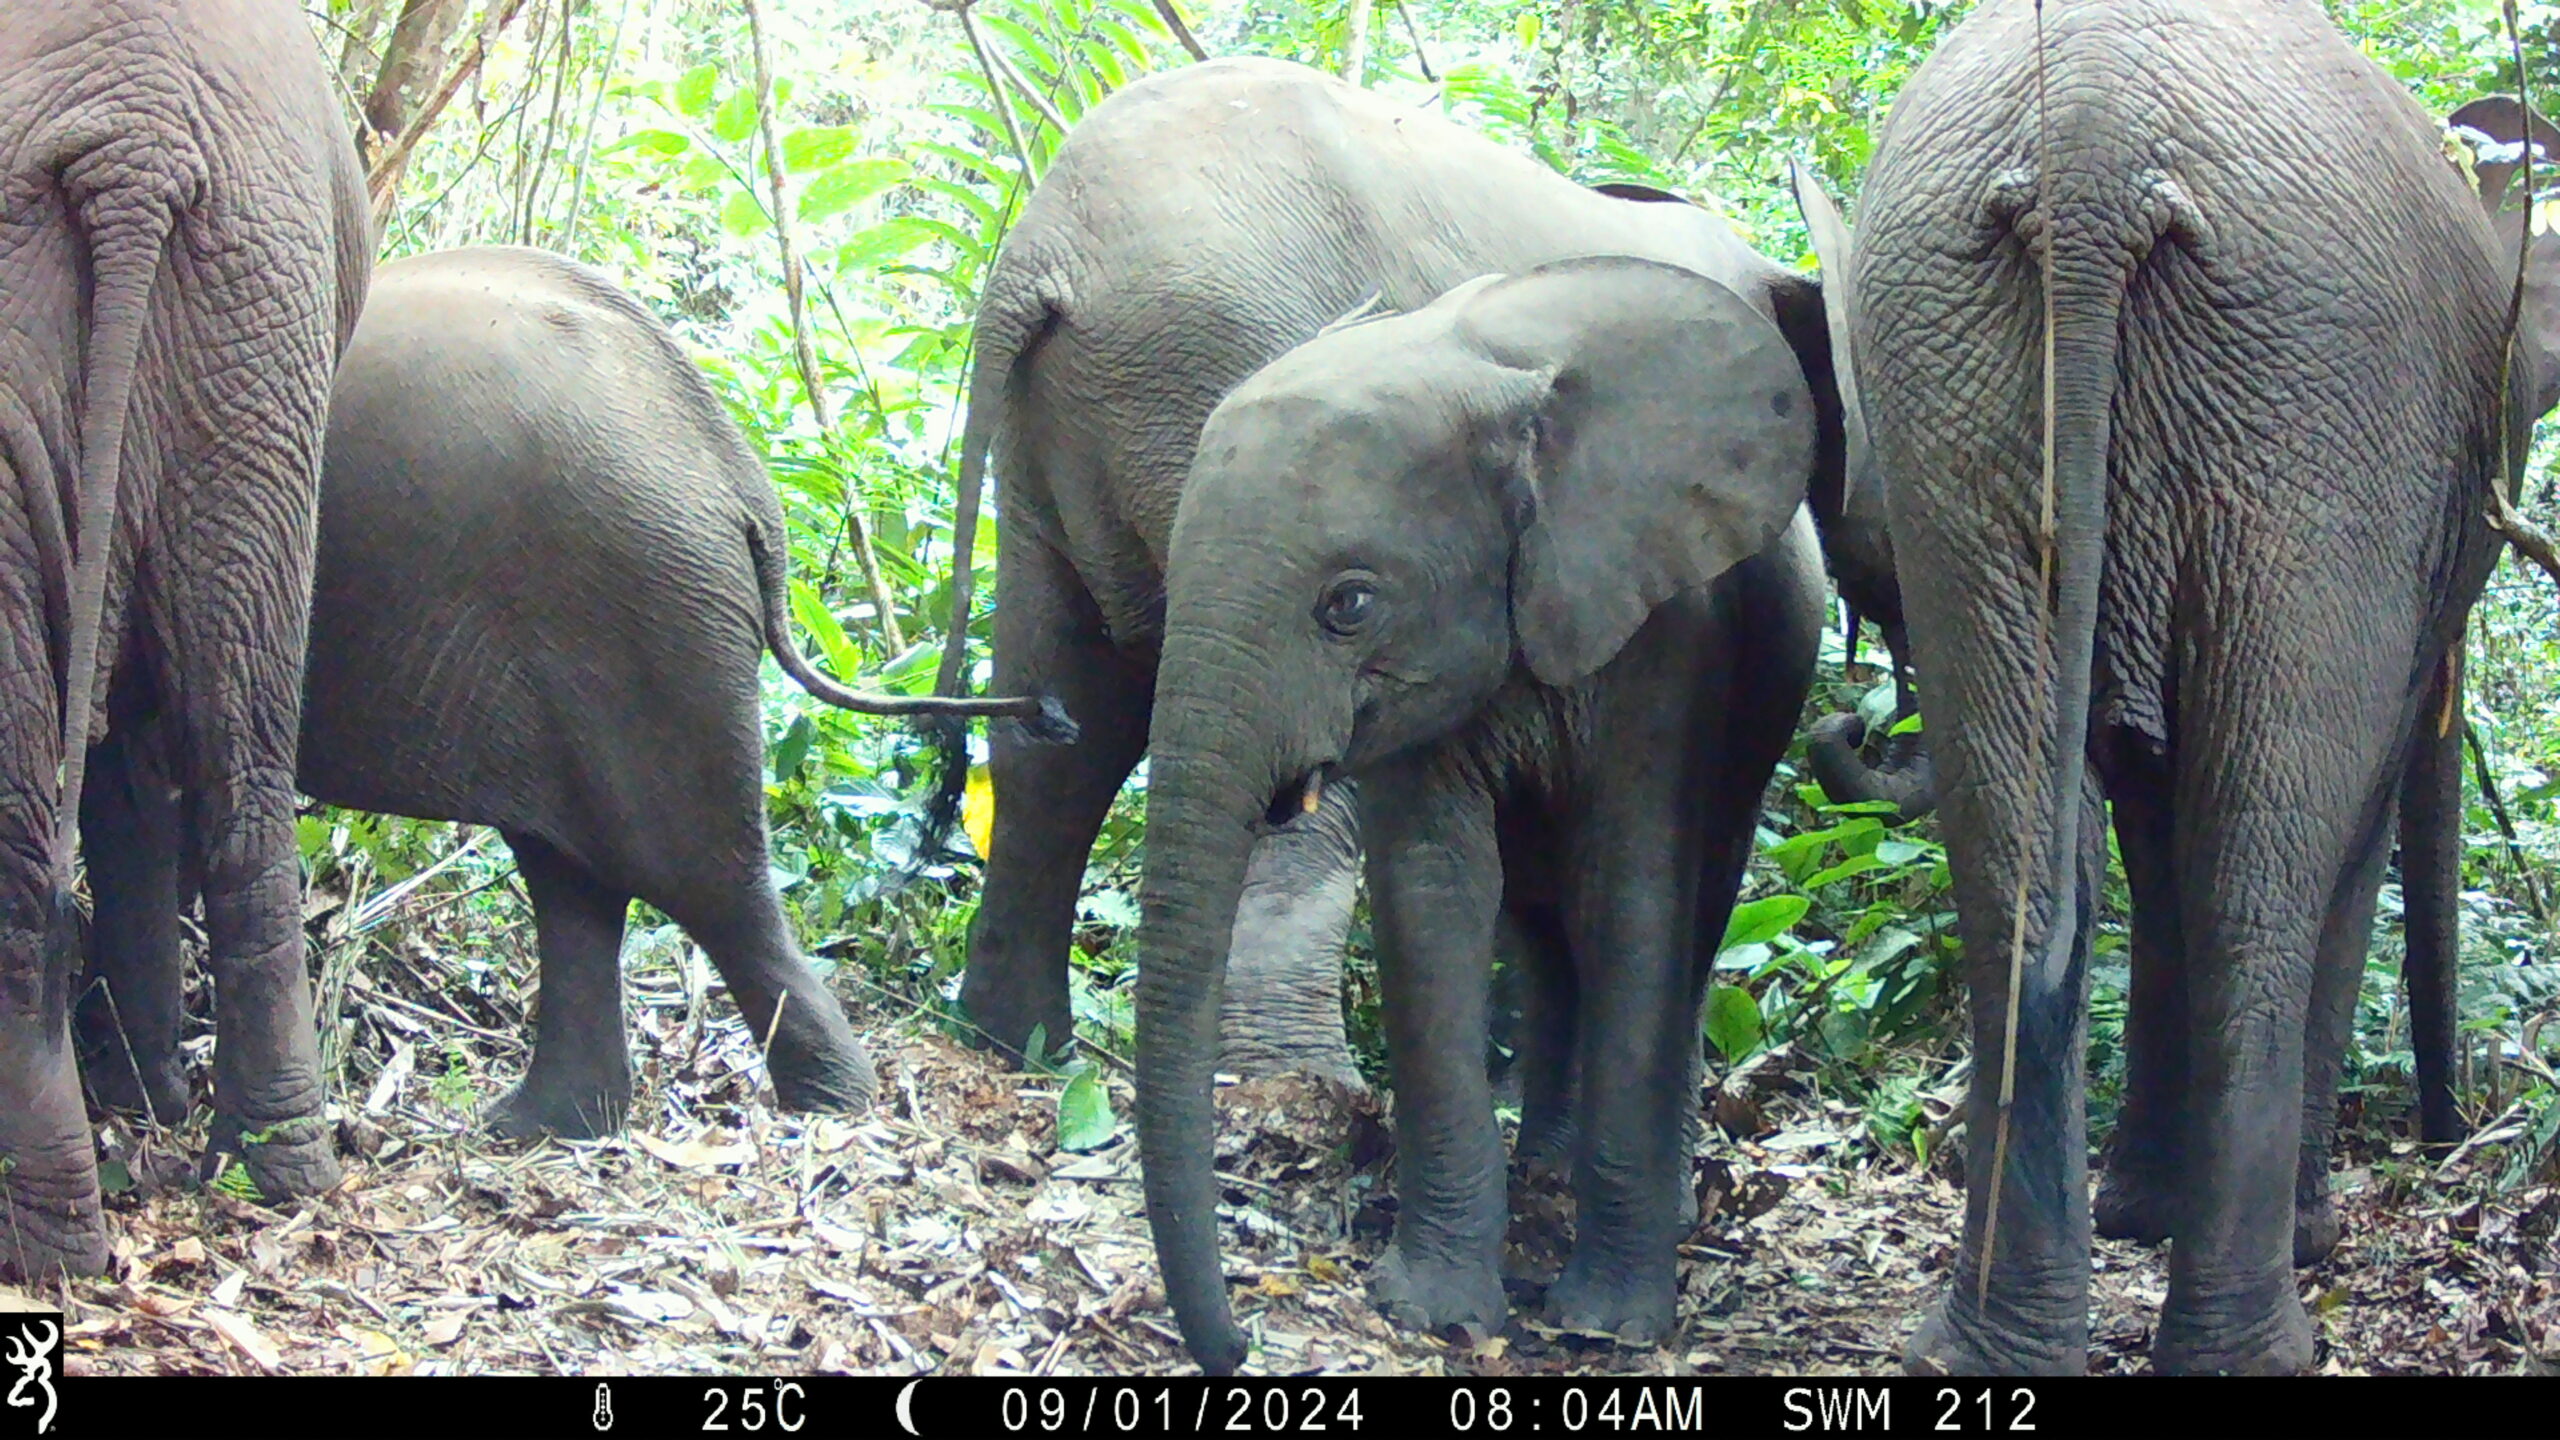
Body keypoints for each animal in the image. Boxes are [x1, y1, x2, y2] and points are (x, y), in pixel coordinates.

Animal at [71, 245, 1048, 1142]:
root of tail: (741, 478)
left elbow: (124, 796)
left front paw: (127, 1102)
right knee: (575, 878)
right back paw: (542, 1126)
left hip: (649, 615)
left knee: (699, 878)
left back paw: (828, 1112)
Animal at [934, 57, 1870, 1096]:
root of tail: (1039, 257)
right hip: (1210, 366)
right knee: (1290, 771)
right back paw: (1303, 1091)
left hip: (1053, 450)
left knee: (1058, 727)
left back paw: (1020, 1050)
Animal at [1142, 258, 1825, 1372]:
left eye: (1349, 605)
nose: (1240, 1342)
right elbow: (1434, 898)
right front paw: (1437, 1314)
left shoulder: (1668, 633)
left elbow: (1631, 894)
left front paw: (1610, 1325)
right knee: (1545, 935)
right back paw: (1545, 1168)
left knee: (1685, 918)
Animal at [1805, 0, 2560, 1375]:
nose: (2448, 1137)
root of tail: (2092, 140)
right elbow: (2332, 820)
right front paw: (2230, 1226)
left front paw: (2133, 1215)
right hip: (2309, 404)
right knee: (2265, 865)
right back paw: (2263, 1331)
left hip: (1955, 376)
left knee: (2021, 866)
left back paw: (1986, 1345)